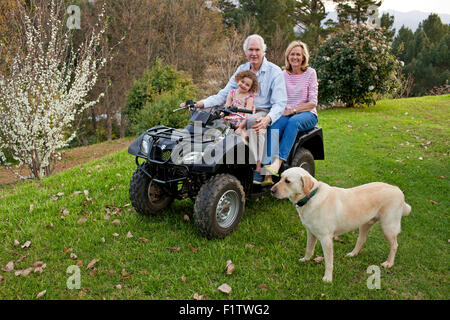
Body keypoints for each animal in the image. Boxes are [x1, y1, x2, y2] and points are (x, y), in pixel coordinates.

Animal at [270, 168, 412, 282]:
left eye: (287, 181)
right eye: (280, 177)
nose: (271, 190)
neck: (310, 197)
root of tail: (398, 189)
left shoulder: (326, 239)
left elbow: (329, 262)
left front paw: (328, 278)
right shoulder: (311, 233)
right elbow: (309, 249)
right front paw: (306, 260)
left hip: (388, 227)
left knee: (395, 245)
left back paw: (389, 263)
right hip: (364, 224)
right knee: (361, 240)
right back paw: (353, 254)